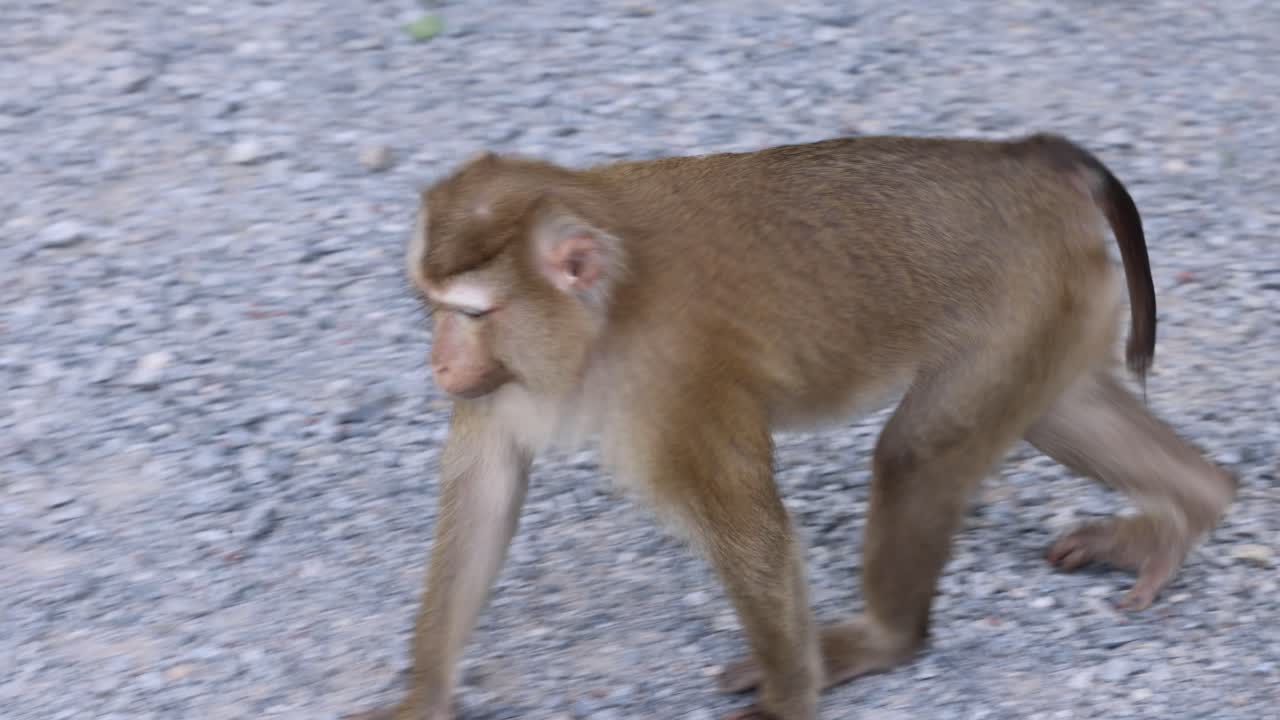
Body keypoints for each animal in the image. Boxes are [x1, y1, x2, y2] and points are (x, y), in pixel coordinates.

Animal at [347, 133, 1237, 720]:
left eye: (474, 314)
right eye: (433, 305)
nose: (438, 362)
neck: (603, 312)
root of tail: (1022, 156)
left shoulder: (676, 385)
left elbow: (749, 533)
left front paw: (787, 700)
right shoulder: (511, 381)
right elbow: (486, 490)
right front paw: (424, 695)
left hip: (1025, 298)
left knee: (918, 454)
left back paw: (883, 639)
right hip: (1060, 298)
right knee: (1056, 412)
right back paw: (1191, 506)